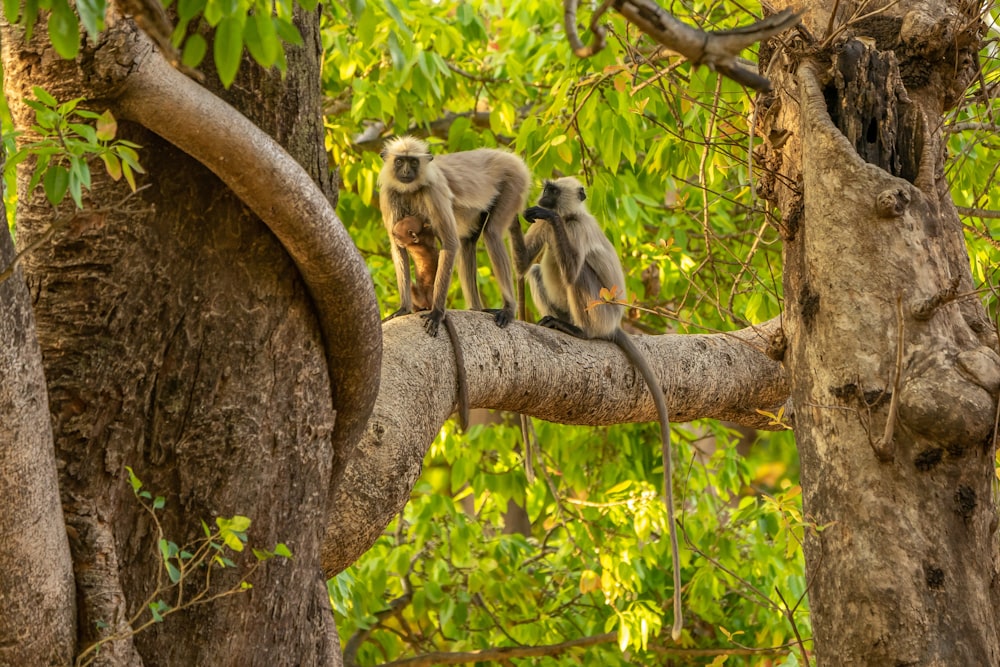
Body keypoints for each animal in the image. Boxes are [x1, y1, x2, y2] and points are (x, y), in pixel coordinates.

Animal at [376, 136, 532, 336]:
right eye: (399, 161)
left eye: (413, 162)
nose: (405, 171)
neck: (411, 189)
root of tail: (508, 157)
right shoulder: (389, 193)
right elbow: (398, 248)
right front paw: (404, 309)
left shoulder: (433, 190)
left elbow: (450, 243)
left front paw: (436, 312)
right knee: (467, 243)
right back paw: (475, 309)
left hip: (513, 180)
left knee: (492, 233)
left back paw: (509, 309)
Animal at [516, 177, 688, 640]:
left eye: (552, 191)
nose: (542, 199)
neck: (572, 216)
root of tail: (614, 326)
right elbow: (522, 264)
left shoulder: (574, 230)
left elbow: (569, 259)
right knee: (538, 269)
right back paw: (556, 321)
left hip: (600, 309)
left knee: (578, 273)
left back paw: (578, 331)